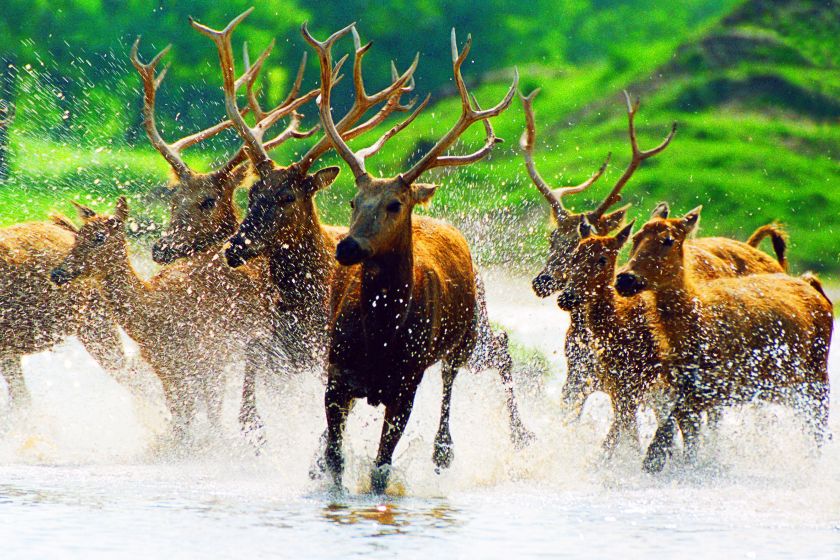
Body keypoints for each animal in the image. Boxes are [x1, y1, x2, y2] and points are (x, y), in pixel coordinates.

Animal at [50, 197, 275, 446]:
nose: (58, 273)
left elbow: (210, 414)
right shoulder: (166, 369)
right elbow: (182, 418)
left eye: (100, 237)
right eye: (77, 235)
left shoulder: (210, 357)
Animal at [303, 23, 518, 493]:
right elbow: (334, 458)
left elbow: (381, 469)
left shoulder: (406, 384)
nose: (347, 247)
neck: (382, 335)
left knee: (453, 387)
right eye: (352, 201)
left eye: (394, 204)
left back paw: (446, 452)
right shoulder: (336, 372)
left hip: (466, 337)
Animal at [615, 207, 833, 473]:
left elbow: (673, 426)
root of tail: (816, 289)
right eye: (636, 237)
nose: (625, 279)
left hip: (817, 379)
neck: (694, 323)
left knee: (817, 428)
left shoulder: (719, 385)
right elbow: (687, 435)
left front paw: (652, 460)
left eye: (668, 240)